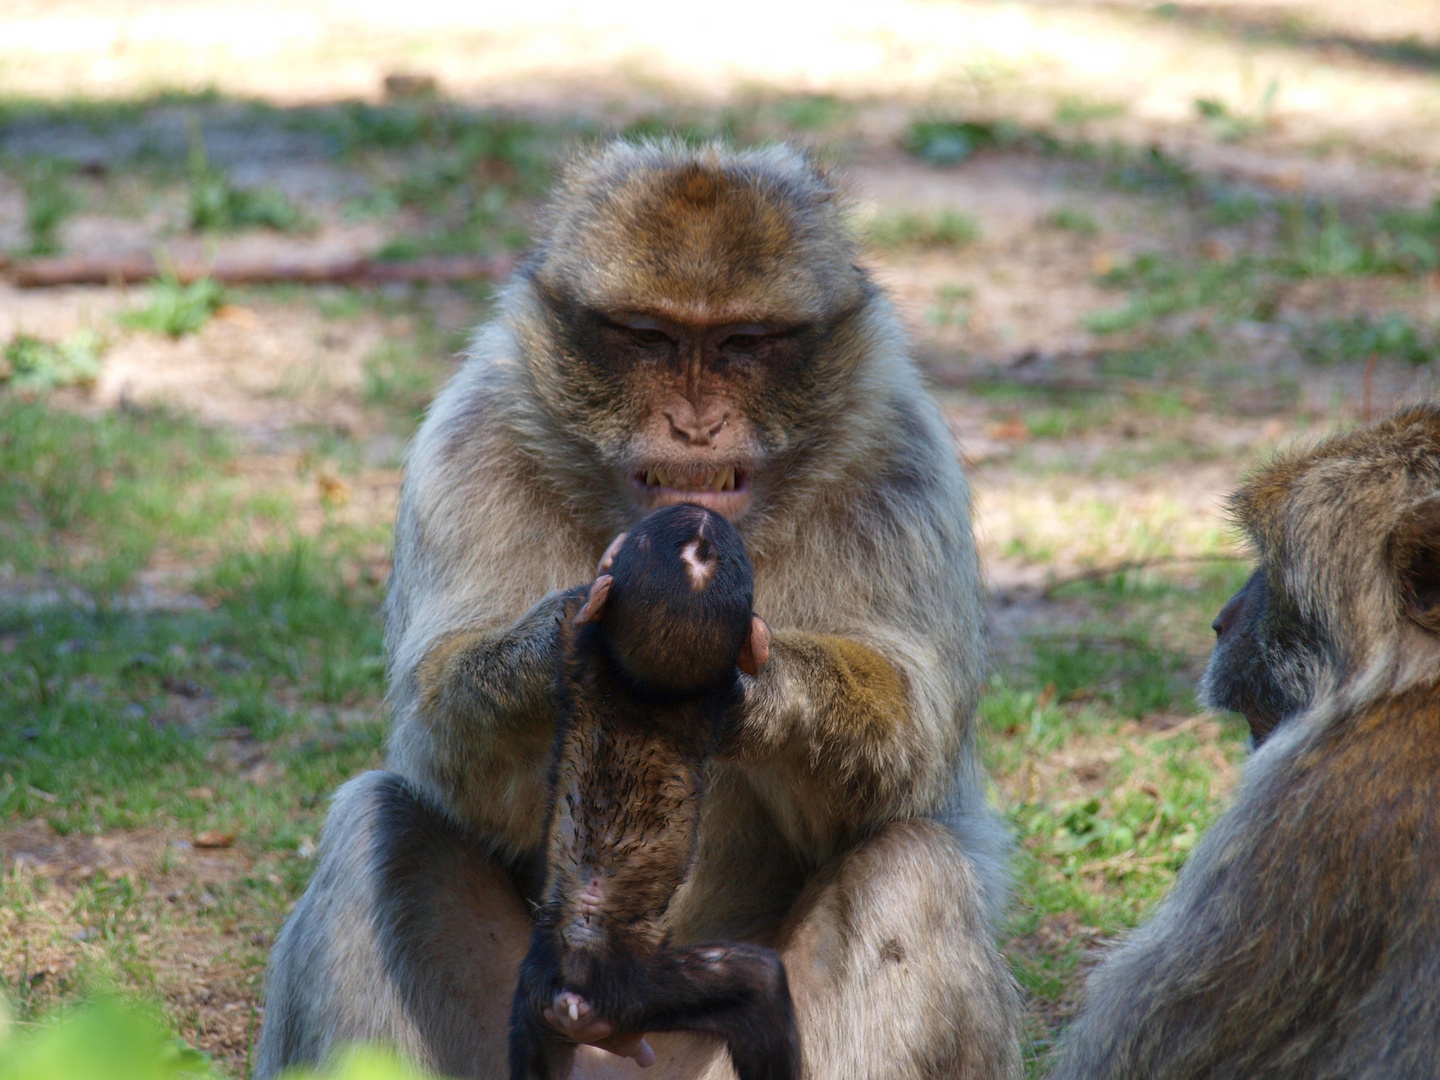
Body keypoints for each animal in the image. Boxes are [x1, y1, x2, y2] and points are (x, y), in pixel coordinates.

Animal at [506, 506, 800, 1080]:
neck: (644, 692)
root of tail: (580, 979)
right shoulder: (715, 692)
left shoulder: (581, 652)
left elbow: (580, 620)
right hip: (650, 985)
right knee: (760, 986)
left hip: (538, 995)